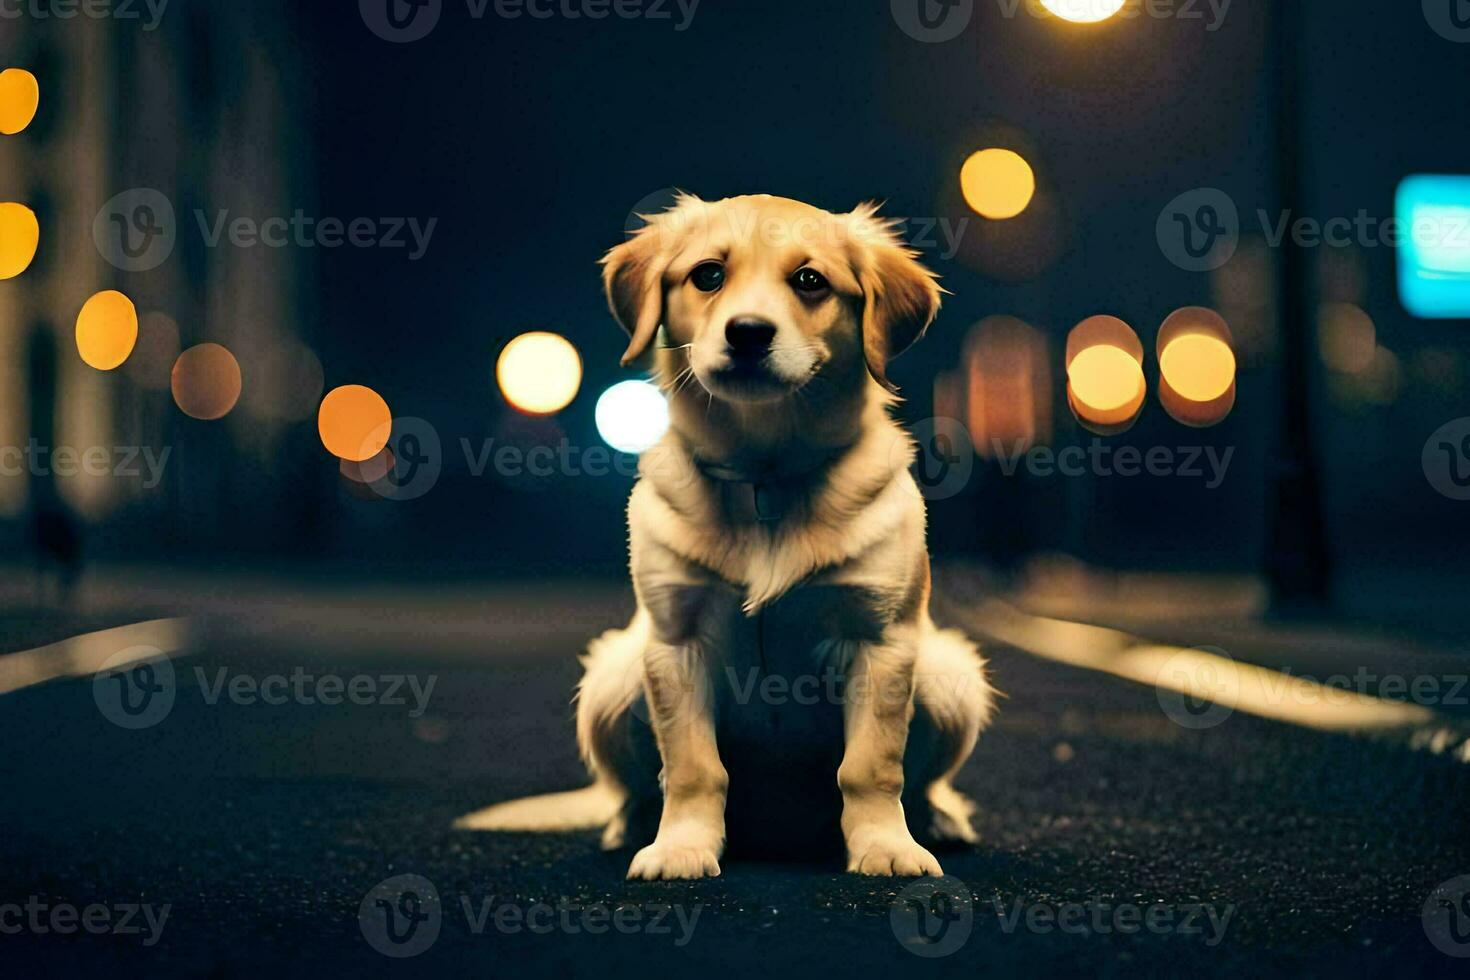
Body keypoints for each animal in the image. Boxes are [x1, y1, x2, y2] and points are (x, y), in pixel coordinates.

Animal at [452, 195, 993, 887]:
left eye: (810, 281)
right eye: (708, 275)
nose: (749, 333)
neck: (764, 476)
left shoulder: (880, 640)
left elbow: (871, 767)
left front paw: (884, 846)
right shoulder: (676, 642)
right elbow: (692, 768)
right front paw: (682, 847)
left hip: (950, 676)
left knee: (921, 782)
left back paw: (938, 820)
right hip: (612, 679)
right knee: (636, 787)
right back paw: (629, 826)